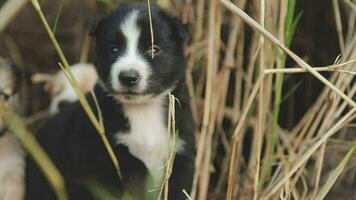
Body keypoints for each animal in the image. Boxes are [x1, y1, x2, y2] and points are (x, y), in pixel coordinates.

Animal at [25, 3, 195, 200]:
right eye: (113, 49)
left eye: (154, 49)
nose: (128, 77)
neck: (143, 110)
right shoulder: (98, 148)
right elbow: (134, 165)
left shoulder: (180, 150)